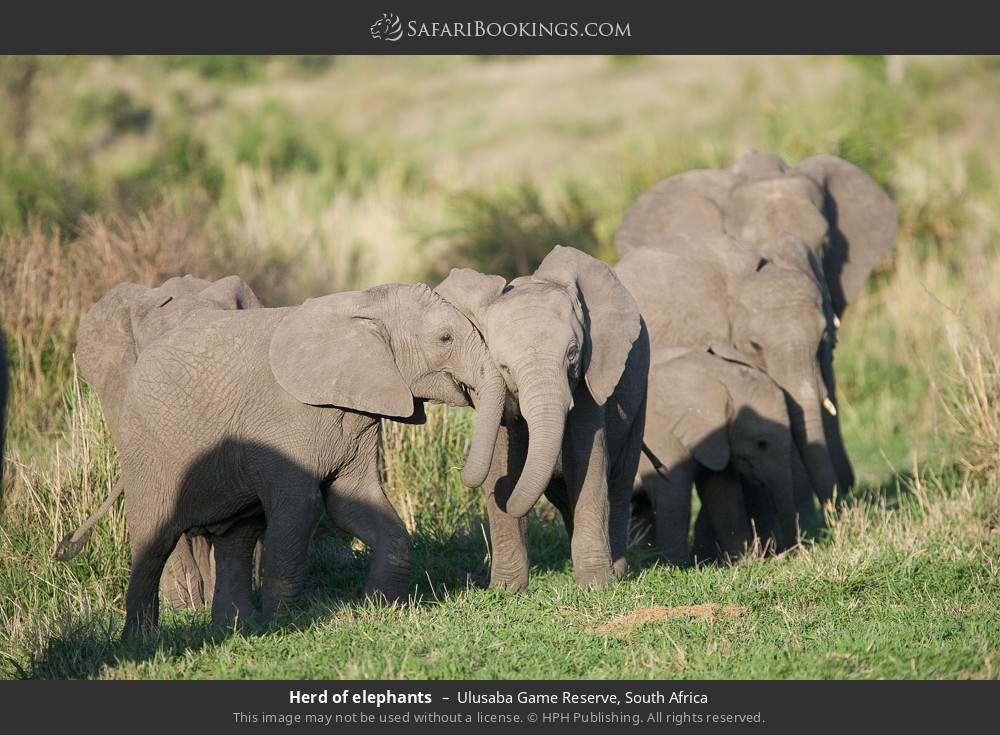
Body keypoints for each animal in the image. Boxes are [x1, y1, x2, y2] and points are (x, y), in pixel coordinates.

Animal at [438, 244, 648, 588]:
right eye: (503, 367)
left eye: (572, 354)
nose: (459, 472)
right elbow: (500, 463)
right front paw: (506, 590)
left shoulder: (589, 379)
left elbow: (587, 460)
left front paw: (596, 585)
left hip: (640, 394)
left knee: (619, 479)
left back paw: (617, 571)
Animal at [636, 346, 808, 568]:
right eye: (761, 443)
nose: (786, 556)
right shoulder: (659, 432)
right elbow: (672, 492)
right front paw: (678, 568)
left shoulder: (717, 442)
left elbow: (723, 493)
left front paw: (742, 562)